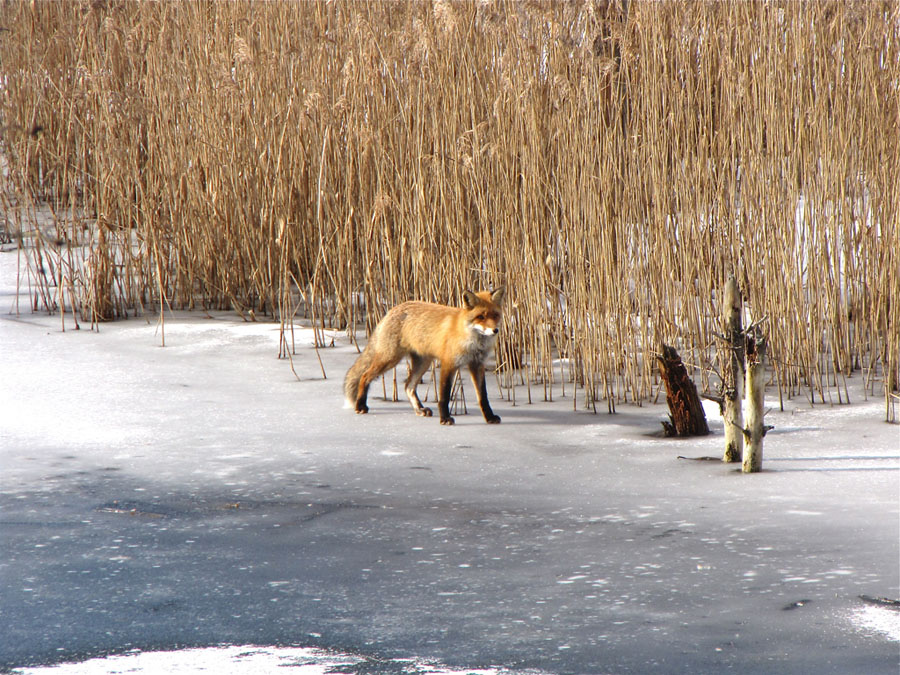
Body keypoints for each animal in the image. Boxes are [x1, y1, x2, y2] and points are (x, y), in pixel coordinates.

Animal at [342, 288, 502, 426]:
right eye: (481, 317)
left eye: (495, 315)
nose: (495, 330)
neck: (473, 341)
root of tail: (394, 308)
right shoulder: (448, 364)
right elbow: (444, 396)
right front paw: (445, 418)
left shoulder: (477, 364)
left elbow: (483, 397)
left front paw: (489, 417)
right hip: (389, 359)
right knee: (364, 376)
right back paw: (360, 405)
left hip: (423, 363)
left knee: (408, 386)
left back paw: (419, 409)